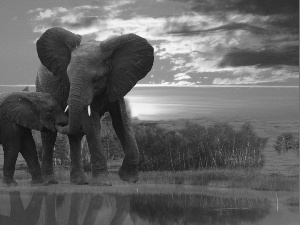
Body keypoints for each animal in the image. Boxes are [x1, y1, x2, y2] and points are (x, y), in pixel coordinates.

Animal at [35, 27, 155, 186]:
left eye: (96, 79)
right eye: (68, 78)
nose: (60, 121)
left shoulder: (116, 82)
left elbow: (122, 123)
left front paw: (129, 179)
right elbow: (92, 125)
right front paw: (102, 183)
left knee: (75, 135)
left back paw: (80, 182)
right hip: (41, 87)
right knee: (49, 135)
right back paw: (50, 182)